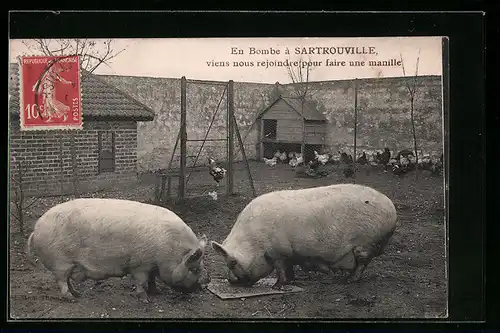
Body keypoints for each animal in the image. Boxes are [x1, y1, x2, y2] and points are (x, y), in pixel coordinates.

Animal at [27, 198, 207, 302]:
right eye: (194, 269)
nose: (199, 287)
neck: (169, 250)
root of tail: (35, 230)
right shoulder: (139, 264)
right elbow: (141, 281)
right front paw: (145, 299)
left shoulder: (151, 265)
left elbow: (152, 279)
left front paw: (156, 293)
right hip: (60, 262)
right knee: (62, 281)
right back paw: (72, 298)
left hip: (67, 264)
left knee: (68, 280)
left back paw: (77, 294)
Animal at [211, 183, 398, 290]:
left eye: (232, 262)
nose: (231, 281)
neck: (254, 241)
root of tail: (392, 210)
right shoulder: (289, 253)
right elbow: (289, 268)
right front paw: (292, 281)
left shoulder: (279, 251)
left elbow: (281, 269)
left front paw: (277, 287)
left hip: (366, 243)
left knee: (362, 264)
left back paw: (349, 281)